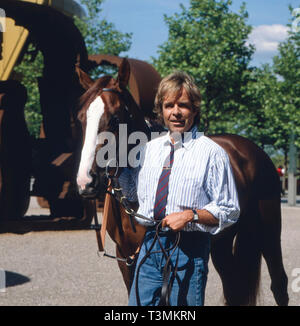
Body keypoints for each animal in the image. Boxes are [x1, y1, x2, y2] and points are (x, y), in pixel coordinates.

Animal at [75, 58, 288, 306]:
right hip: (223, 243)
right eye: (80, 118)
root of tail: (253, 150)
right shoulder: (127, 257)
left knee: (279, 284)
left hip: (269, 232)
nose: (86, 181)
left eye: (115, 118)